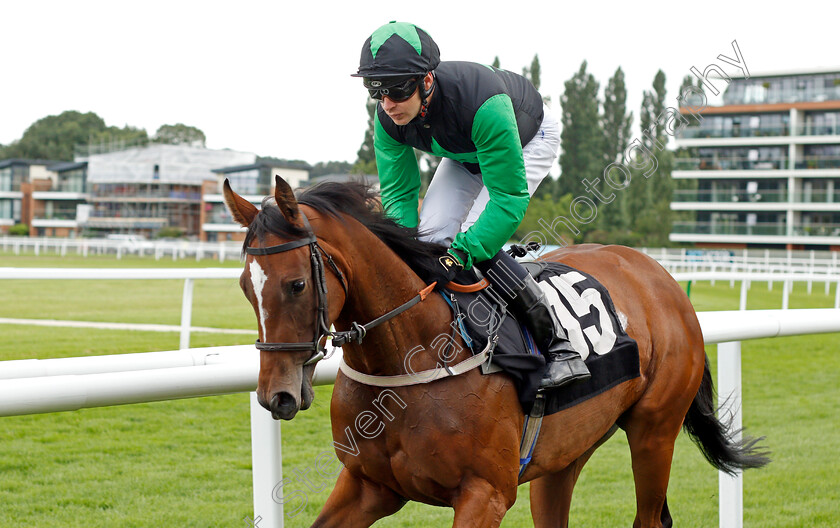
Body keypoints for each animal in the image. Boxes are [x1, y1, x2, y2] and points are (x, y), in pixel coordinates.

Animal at [223, 178, 768, 528]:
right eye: (245, 287)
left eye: (296, 285)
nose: (276, 396)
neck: (413, 358)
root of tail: (661, 278)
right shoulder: (368, 485)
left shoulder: (484, 494)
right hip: (566, 452)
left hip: (655, 432)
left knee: (650, 516)